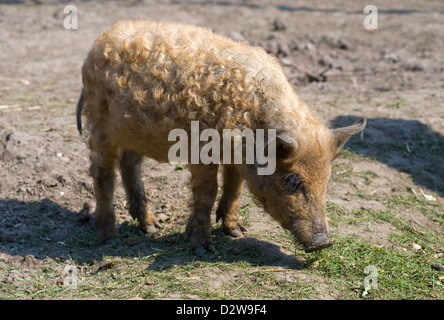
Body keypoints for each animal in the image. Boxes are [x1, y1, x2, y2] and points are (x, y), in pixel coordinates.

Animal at [77, 20, 368, 255]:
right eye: (291, 180)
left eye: (327, 180)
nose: (323, 243)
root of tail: (102, 39)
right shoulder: (200, 149)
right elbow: (208, 191)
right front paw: (204, 249)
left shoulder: (236, 158)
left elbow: (234, 185)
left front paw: (237, 231)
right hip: (99, 125)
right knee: (102, 174)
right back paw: (110, 238)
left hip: (133, 132)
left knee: (130, 166)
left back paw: (152, 227)